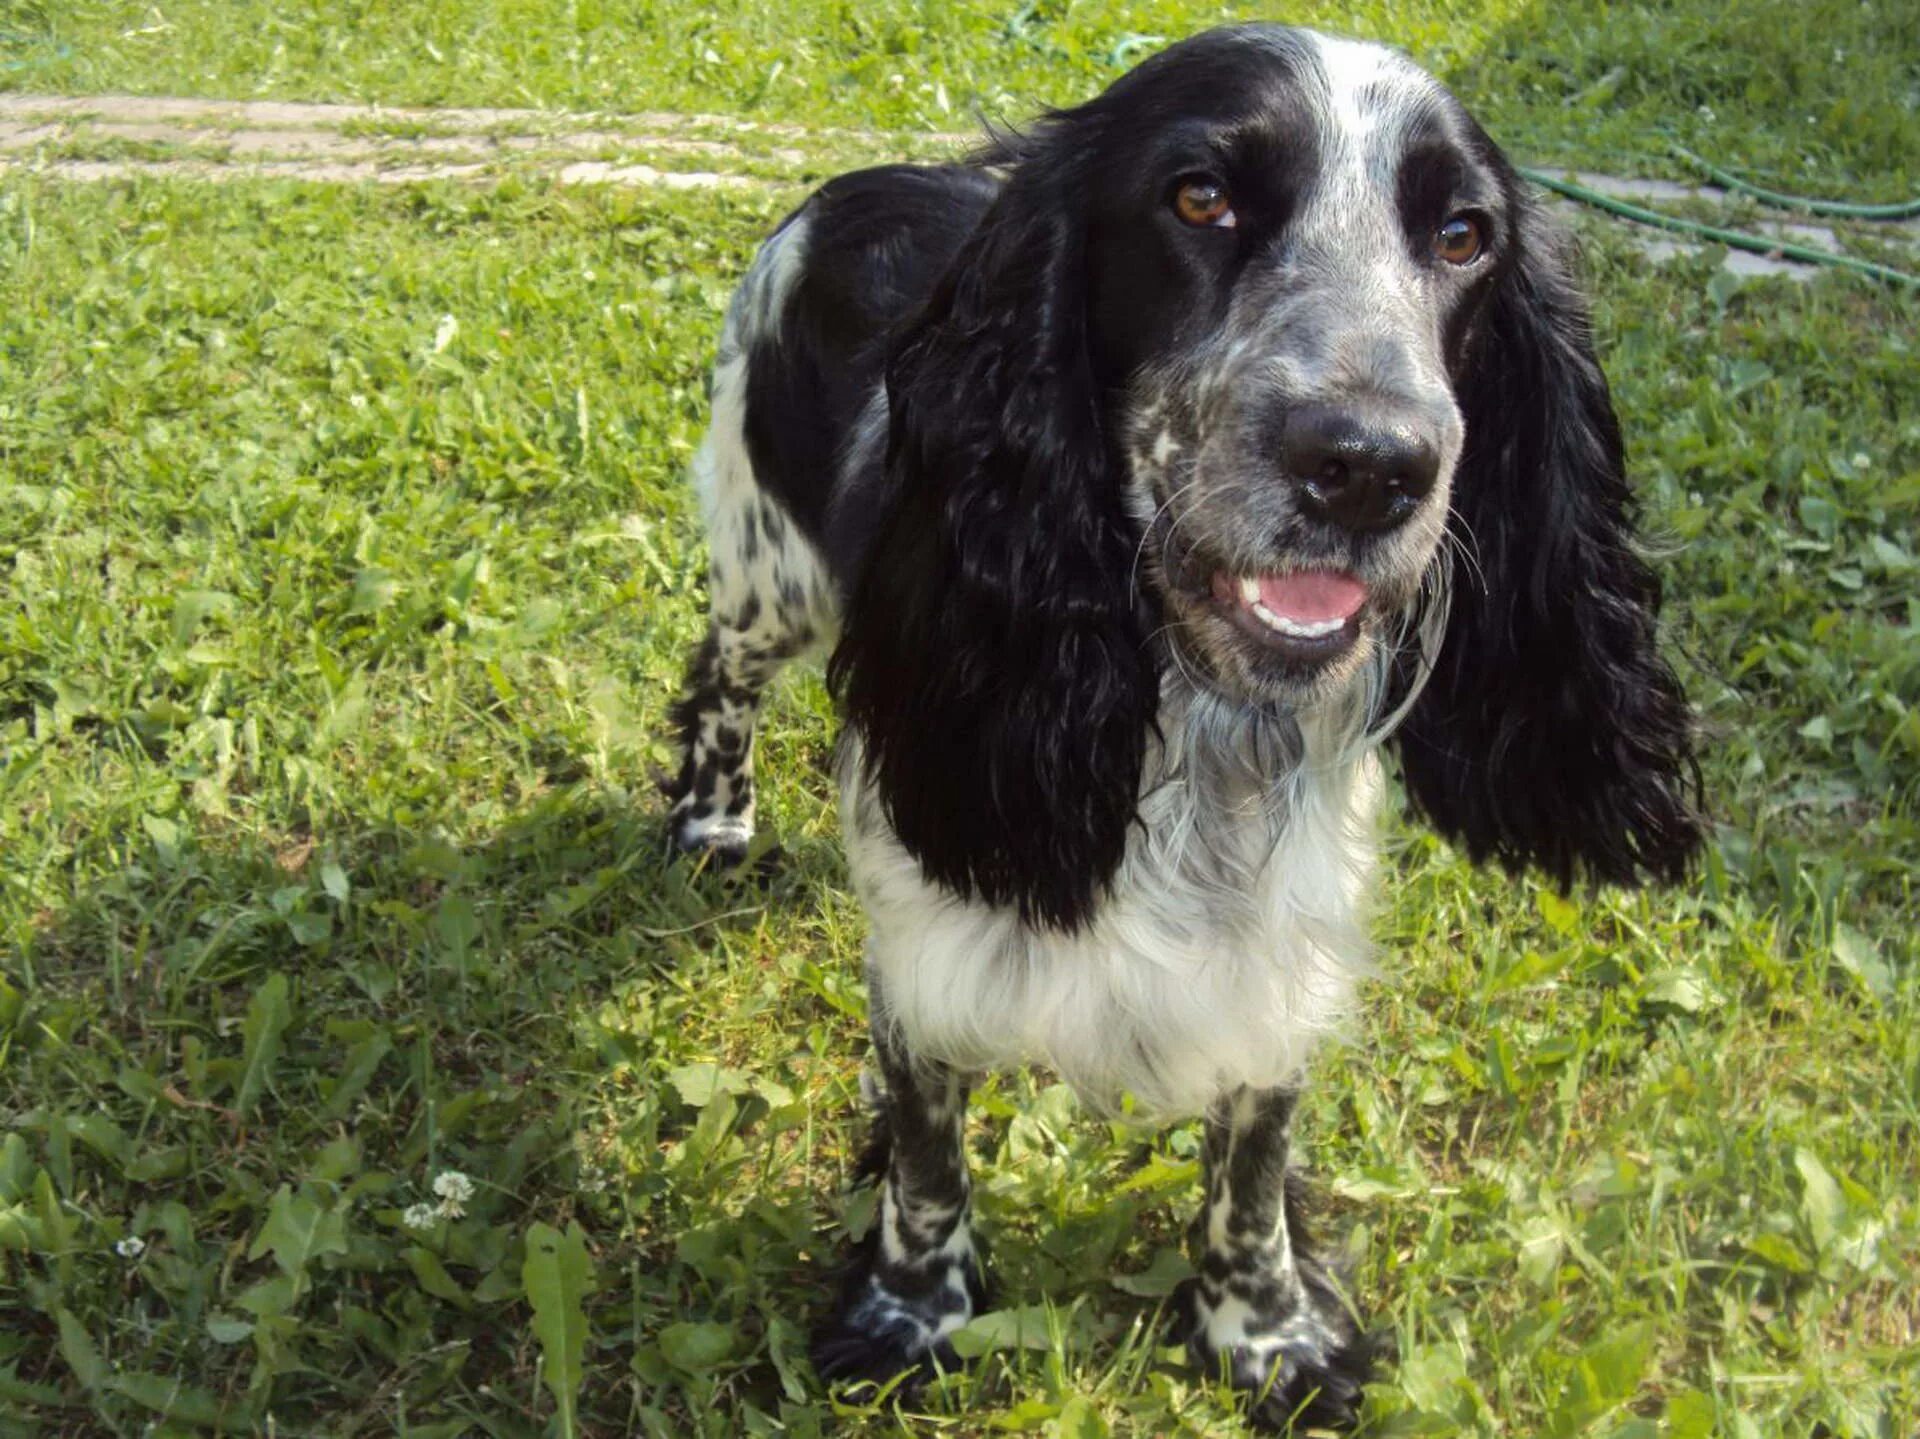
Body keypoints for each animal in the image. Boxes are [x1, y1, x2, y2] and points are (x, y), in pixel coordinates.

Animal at [656, 22, 1697, 1429]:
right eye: (1199, 198)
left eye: (1463, 234)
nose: (1370, 466)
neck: (1194, 723)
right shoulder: (932, 921)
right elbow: (928, 1151)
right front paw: (911, 1315)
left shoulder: (1278, 955)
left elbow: (1251, 1170)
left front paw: (1268, 1335)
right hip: (776, 571)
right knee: (721, 668)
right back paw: (713, 818)